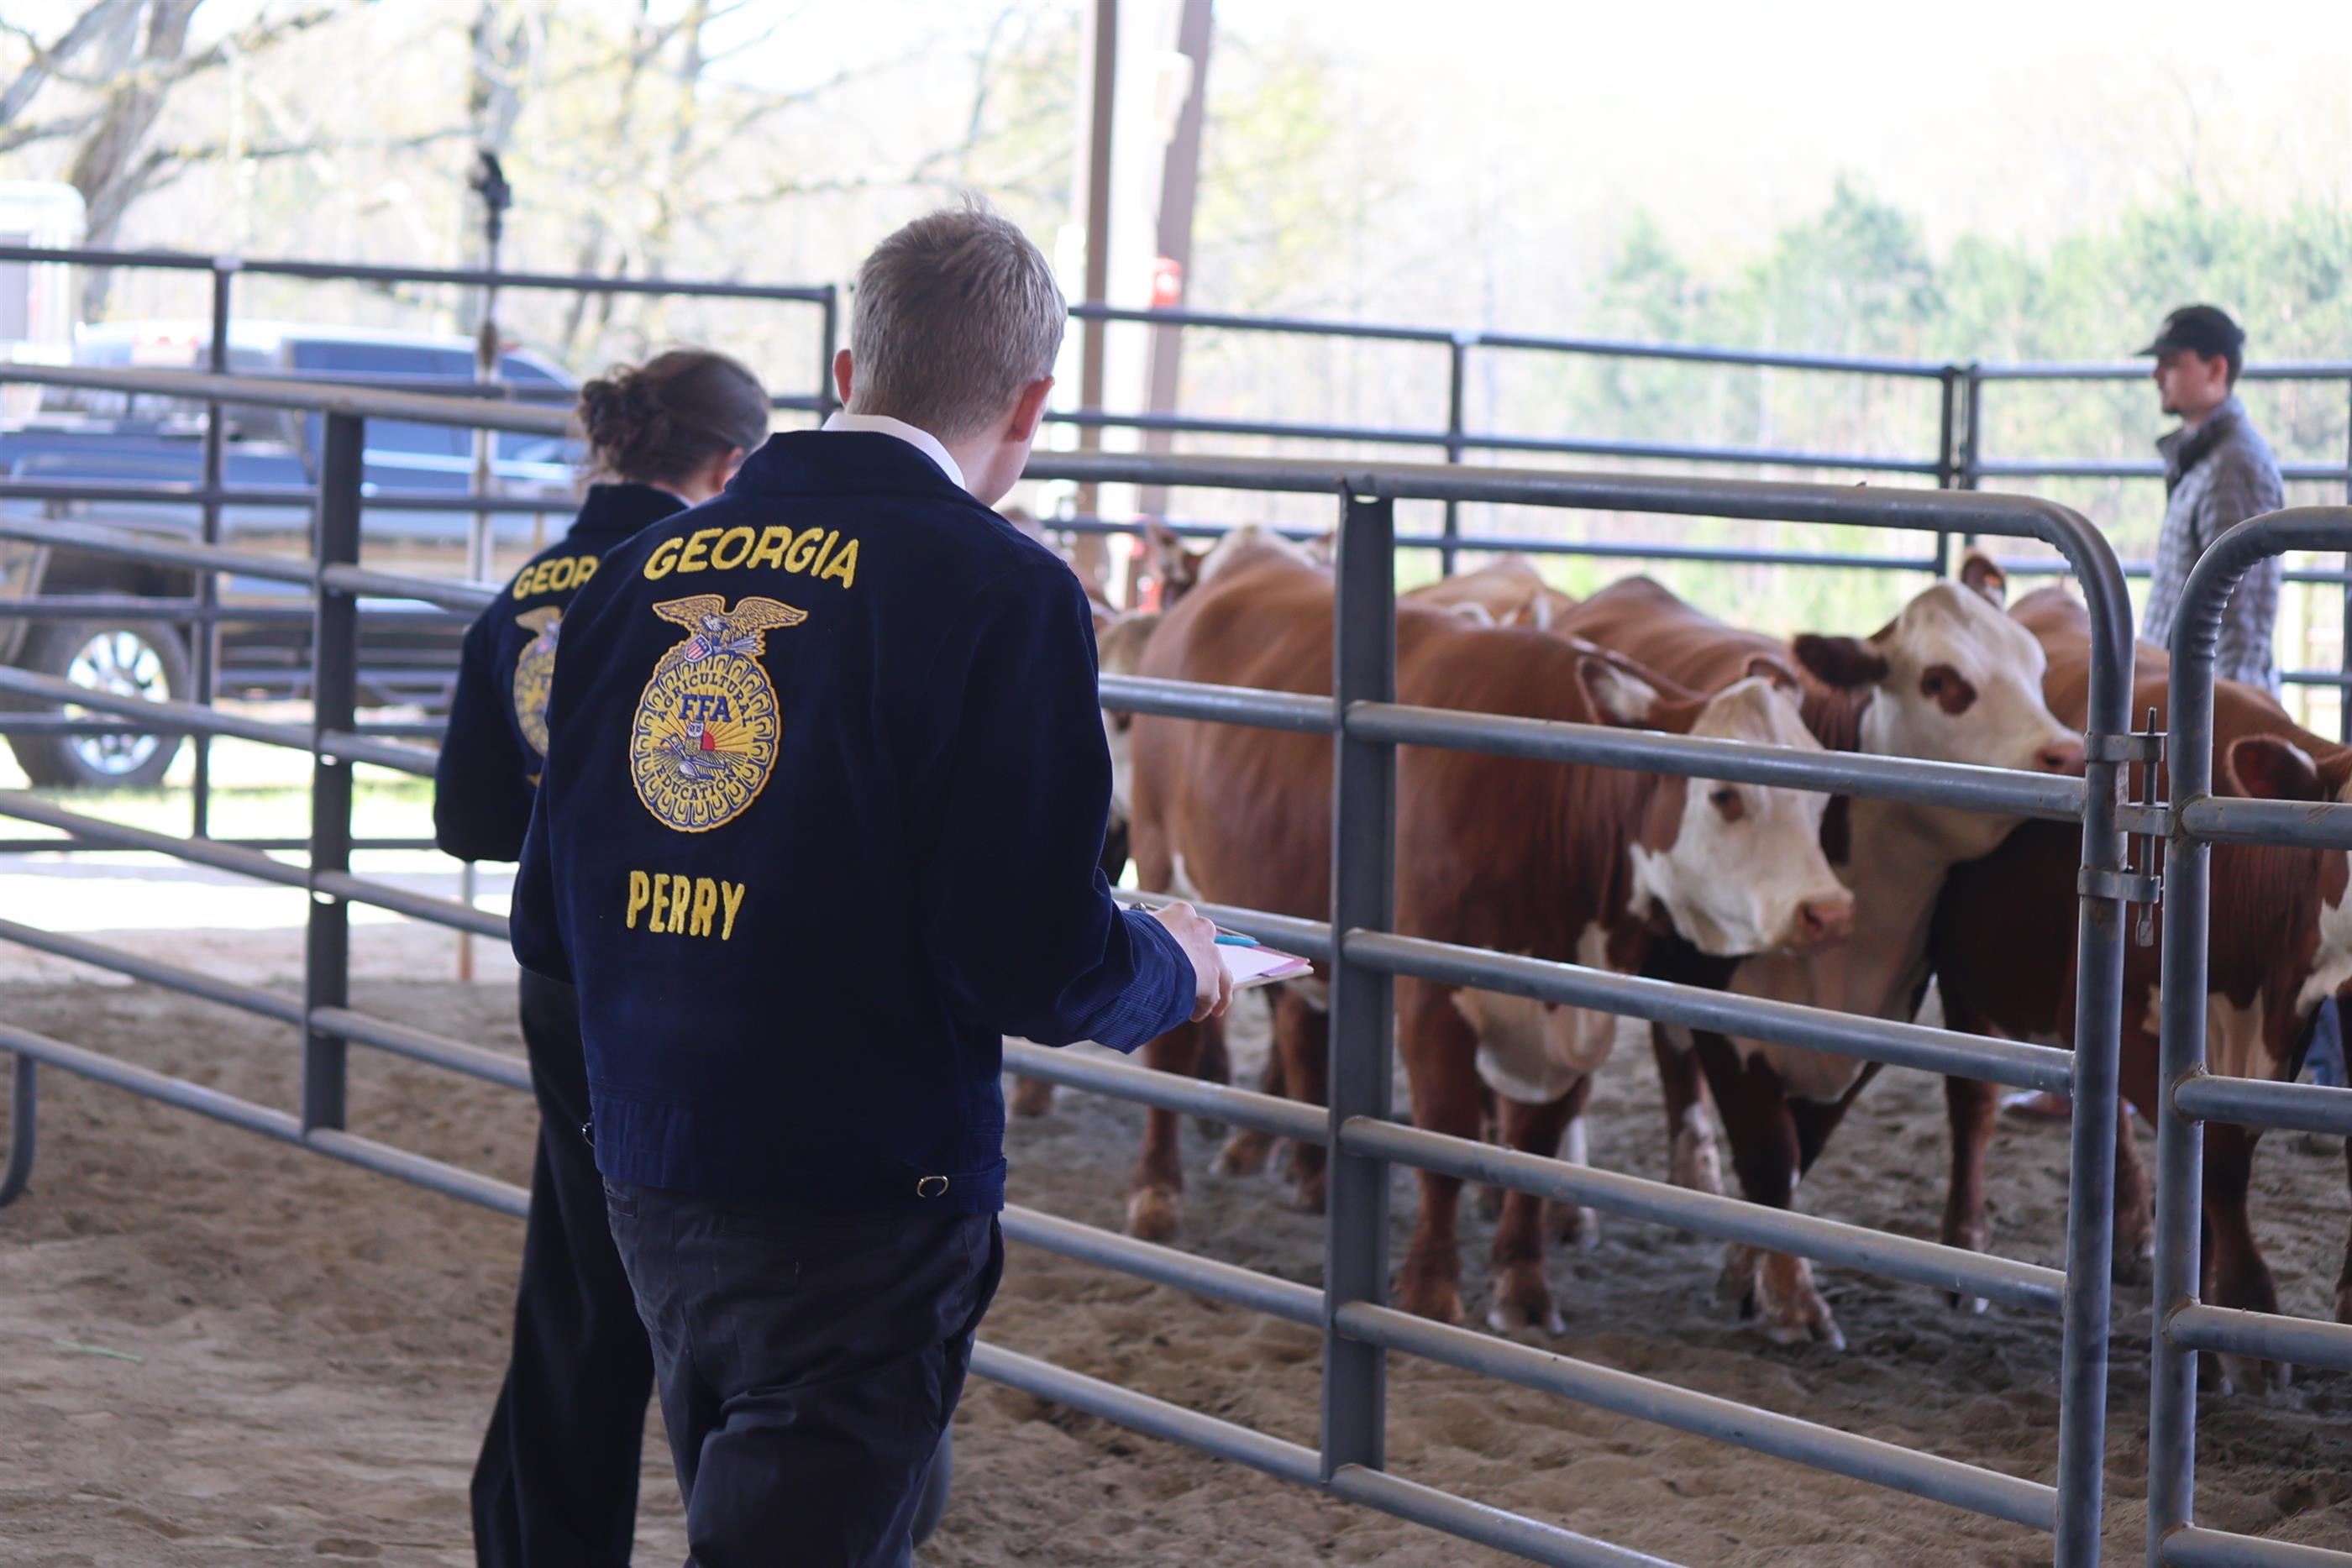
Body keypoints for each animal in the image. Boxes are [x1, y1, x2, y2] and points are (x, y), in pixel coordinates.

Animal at [1125, 528, 1856, 1331]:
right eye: (1724, 794)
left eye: (1821, 795)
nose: (1828, 909)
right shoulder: (1430, 994)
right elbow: (1447, 1133)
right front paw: (1430, 1287)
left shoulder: (1578, 1008)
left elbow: (1534, 1140)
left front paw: (1524, 1283)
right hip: (1163, 864)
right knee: (1174, 1051)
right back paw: (1157, 1192)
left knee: (1299, 1024)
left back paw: (1311, 1180)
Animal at [1557, 561, 2086, 1348]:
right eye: (1942, 680)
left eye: (2038, 665)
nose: (2067, 753)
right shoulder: (1728, 1020)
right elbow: (1770, 1156)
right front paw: (1791, 1301)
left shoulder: (1873, 1026)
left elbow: (1796, 1158)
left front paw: (1746, 1270)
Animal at [1930, 584, 2352, 1391]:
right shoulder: (2122, 1016)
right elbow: (2216, 1167)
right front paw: (2242, 1325)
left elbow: (2208, 1159)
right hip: (1966, 975)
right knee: (1973, 1107)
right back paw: (1964, 1247)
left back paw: (2129, 1233)